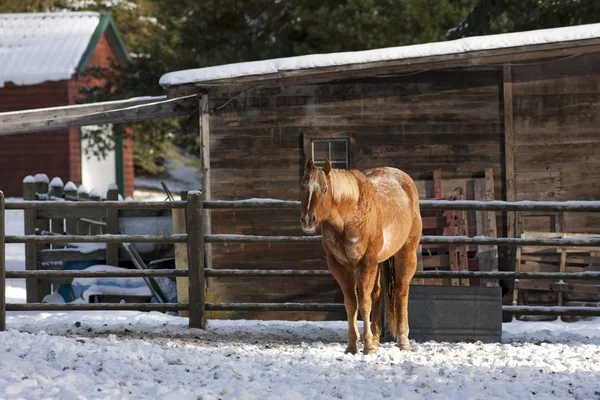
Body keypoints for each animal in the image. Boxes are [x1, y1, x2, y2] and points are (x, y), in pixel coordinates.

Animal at [300, 158, 422, 354]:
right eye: (303, 186)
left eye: (324, 189)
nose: (307, 220)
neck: (349, 216)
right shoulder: (340, 266)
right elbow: (351, 304)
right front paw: (352, 346)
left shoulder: (365, 263)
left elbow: (364, 303)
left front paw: (368, 347)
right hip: (378, 263)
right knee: (377, 293)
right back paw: (377, 339)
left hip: (406, 253)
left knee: (401, 292)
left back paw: (403, 342)